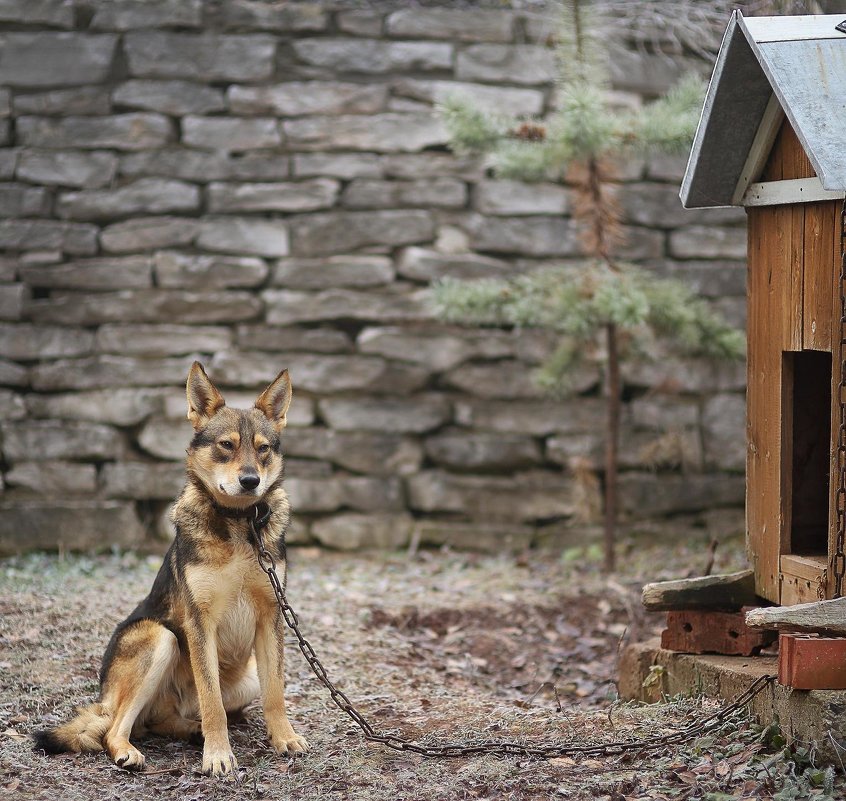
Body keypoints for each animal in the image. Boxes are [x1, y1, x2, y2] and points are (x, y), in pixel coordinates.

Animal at [35, 362, 312, 776]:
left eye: (263, 449)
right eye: (226, 445)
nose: (251, 481)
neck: (238, 524)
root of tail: (105, 698)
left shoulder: (270, 616)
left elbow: (275, 693)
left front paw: (284, 738)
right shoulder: (200, 623)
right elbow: (213, 701)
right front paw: (218, 755)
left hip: (245, 677)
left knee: (158, 720)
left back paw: (190, 730)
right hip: (160, 638)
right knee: (115, 728)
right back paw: (130, 751)